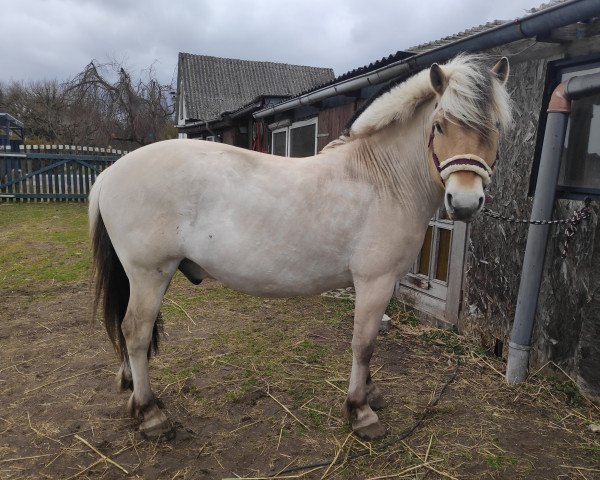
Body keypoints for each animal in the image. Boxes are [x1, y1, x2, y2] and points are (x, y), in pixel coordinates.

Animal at [89, 54, 510, 440]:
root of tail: (110, 174)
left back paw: (133, 389)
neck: (381, 179)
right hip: (150, 273)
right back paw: (150, 414)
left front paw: (371, 393)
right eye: (440, 125)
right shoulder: (373, 281)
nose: (465, 202)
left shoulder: (385, 283)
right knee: (136, 331)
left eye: (496, 127)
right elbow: (363, 344)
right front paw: (360, 411)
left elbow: (370, 341)